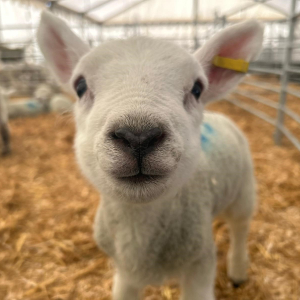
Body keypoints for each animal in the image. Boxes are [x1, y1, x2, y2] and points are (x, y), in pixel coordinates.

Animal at [37, 11, 262, 300]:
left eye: (197, 89)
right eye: (80, 86)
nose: (138, 137)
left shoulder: (200, 265)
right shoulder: (125, 274)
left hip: (244, 190)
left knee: (240, 227)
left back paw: (238, 270)